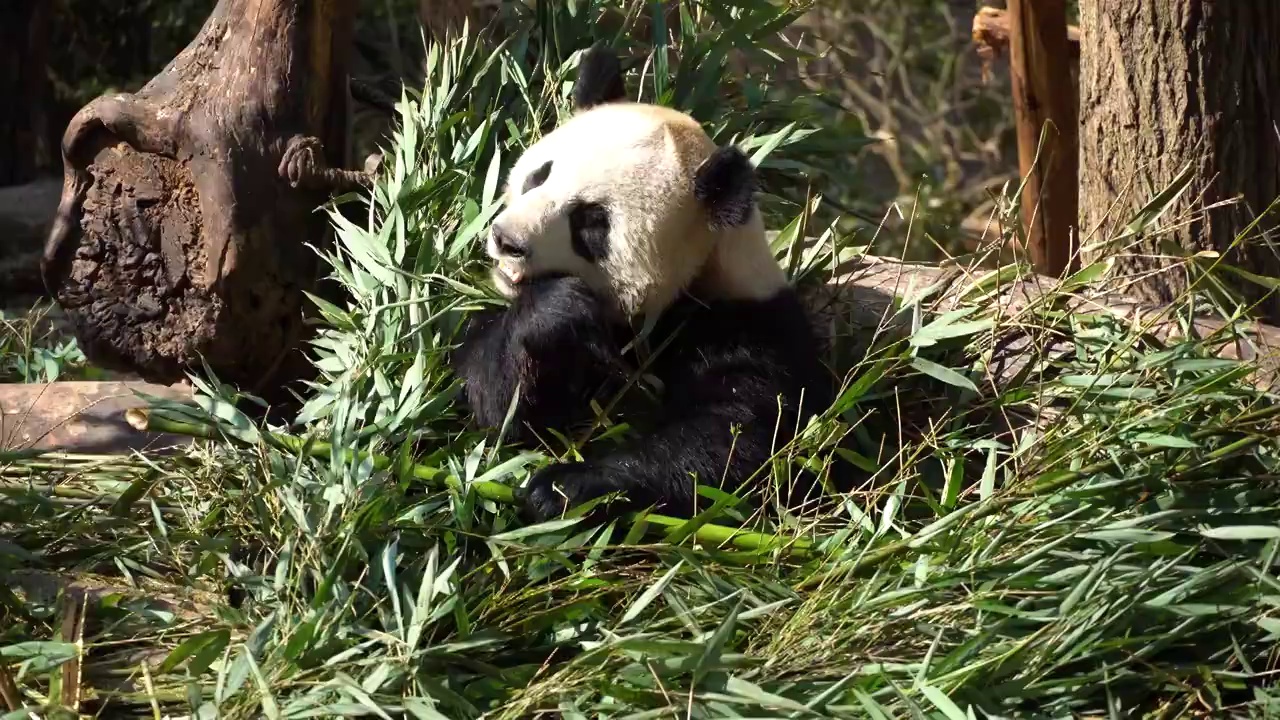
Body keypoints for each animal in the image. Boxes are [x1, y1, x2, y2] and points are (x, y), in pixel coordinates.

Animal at [453, 46, 839, 520]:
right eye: (539, 175)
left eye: (591, 221)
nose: (507, 240)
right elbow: (495, 403)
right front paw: (554, 309)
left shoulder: (746, 328)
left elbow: (739, 445)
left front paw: (561, 486)